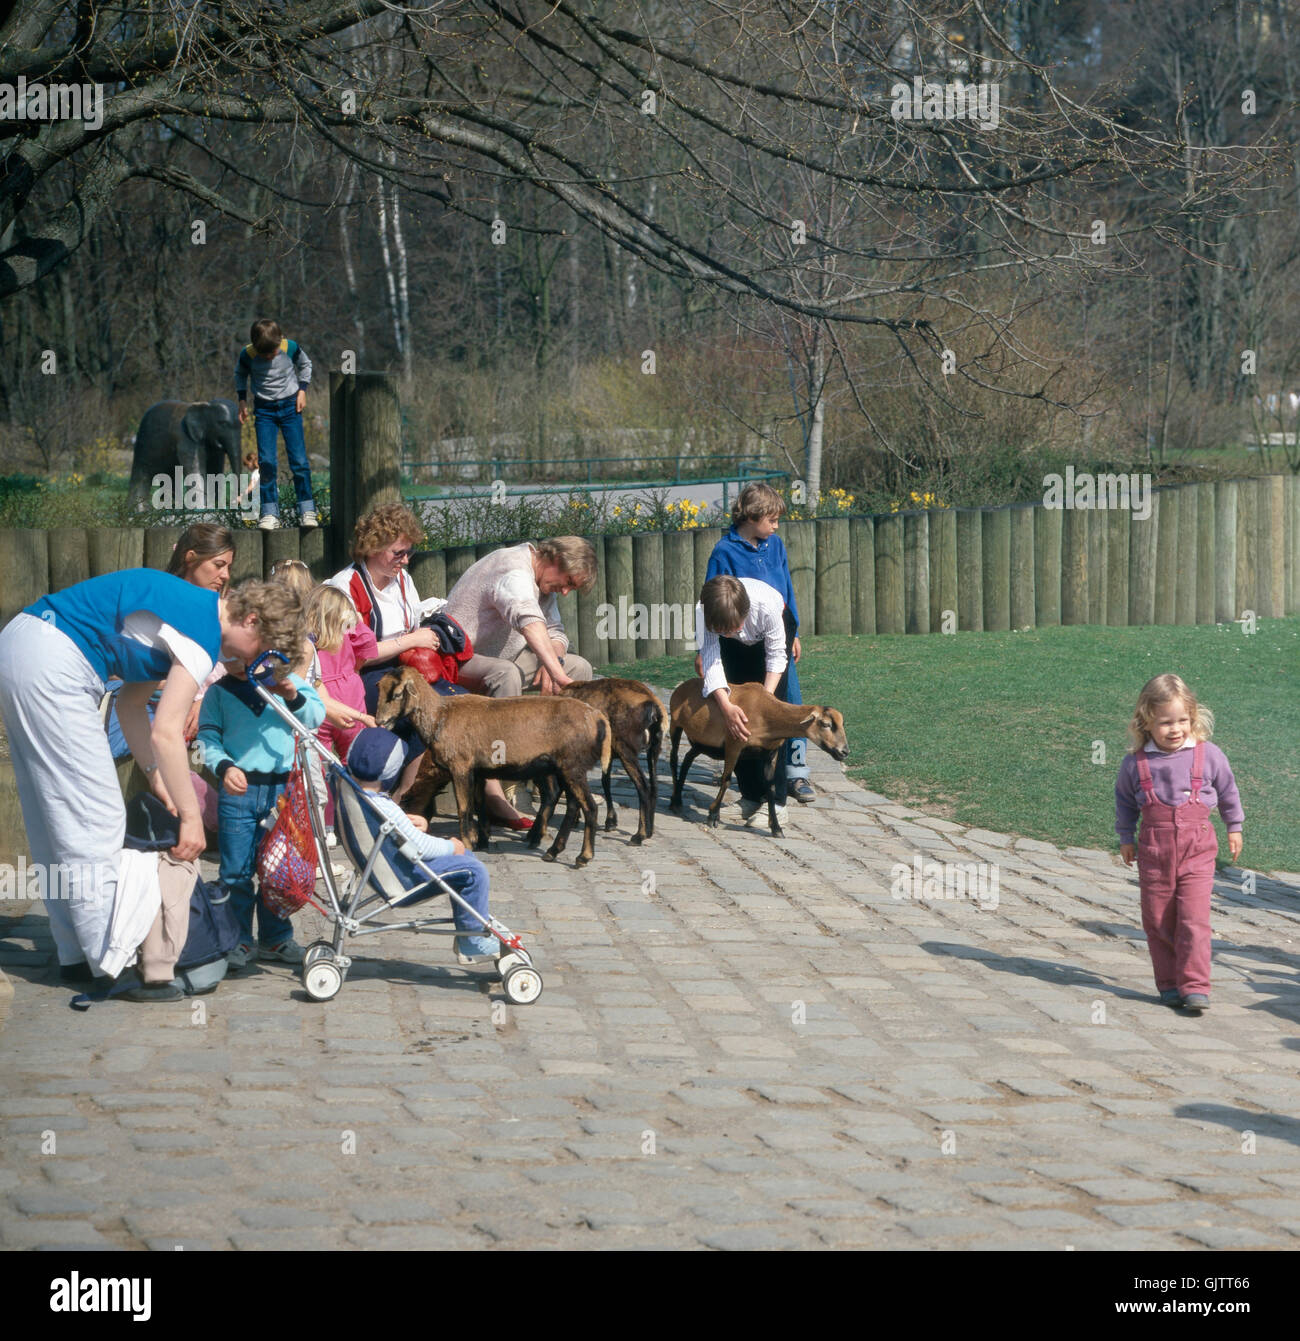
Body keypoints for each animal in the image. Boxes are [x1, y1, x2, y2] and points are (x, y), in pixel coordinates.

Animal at [375, 665, 614, 863]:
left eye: (397, 694)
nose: (380, 721)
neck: (439, 716)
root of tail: (598, 717)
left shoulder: (461, 767)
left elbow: (464, 808)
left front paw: (468, 843)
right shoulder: (479, 772)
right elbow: (480, 806)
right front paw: (482, 841)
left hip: (572, 767)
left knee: (589, 807)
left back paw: (583, 857)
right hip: (564, 769)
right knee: (572, 806)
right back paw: (552, 851)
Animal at [552, 675, 665, 842]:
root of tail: (654, 708)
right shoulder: (608, 754)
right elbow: (605, 781)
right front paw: (610, 821)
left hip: (627, 750)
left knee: (643, 787)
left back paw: (639, 835)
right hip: (654, 750)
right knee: (654, 787)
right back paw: (649, 831)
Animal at [665, 681, 847, 836]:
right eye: (825, 724)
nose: (844, 751)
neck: (767, 716)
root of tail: (682, 686)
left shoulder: (769, 754)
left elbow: (770, 789)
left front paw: (776, 829)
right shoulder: (734, 744)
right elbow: (726, 780)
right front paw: (712, 817)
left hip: (702, 742)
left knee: (687, 759)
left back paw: (678, 799)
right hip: (675, 724)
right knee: (674, 760)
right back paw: (674, 802)